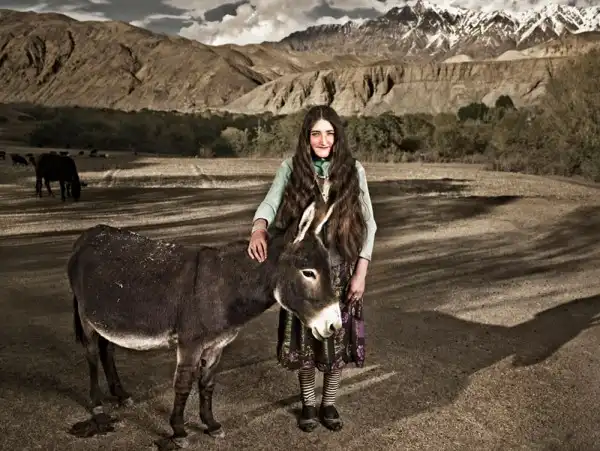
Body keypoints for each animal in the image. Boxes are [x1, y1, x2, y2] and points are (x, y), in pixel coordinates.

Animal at [67, 201, 341, 449]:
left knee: (107, 350)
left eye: (329, 270)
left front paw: (211, 424)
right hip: (86, 317)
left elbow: (207, 384)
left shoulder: (216, 345)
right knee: (92, 355)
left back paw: (121, 395)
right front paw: (178, 430)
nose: (335, 326)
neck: (225, 286)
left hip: (106, 317)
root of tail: (88, 234)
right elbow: (183, 385)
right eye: (308, 272)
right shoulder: (190, 344)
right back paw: (97, 406)